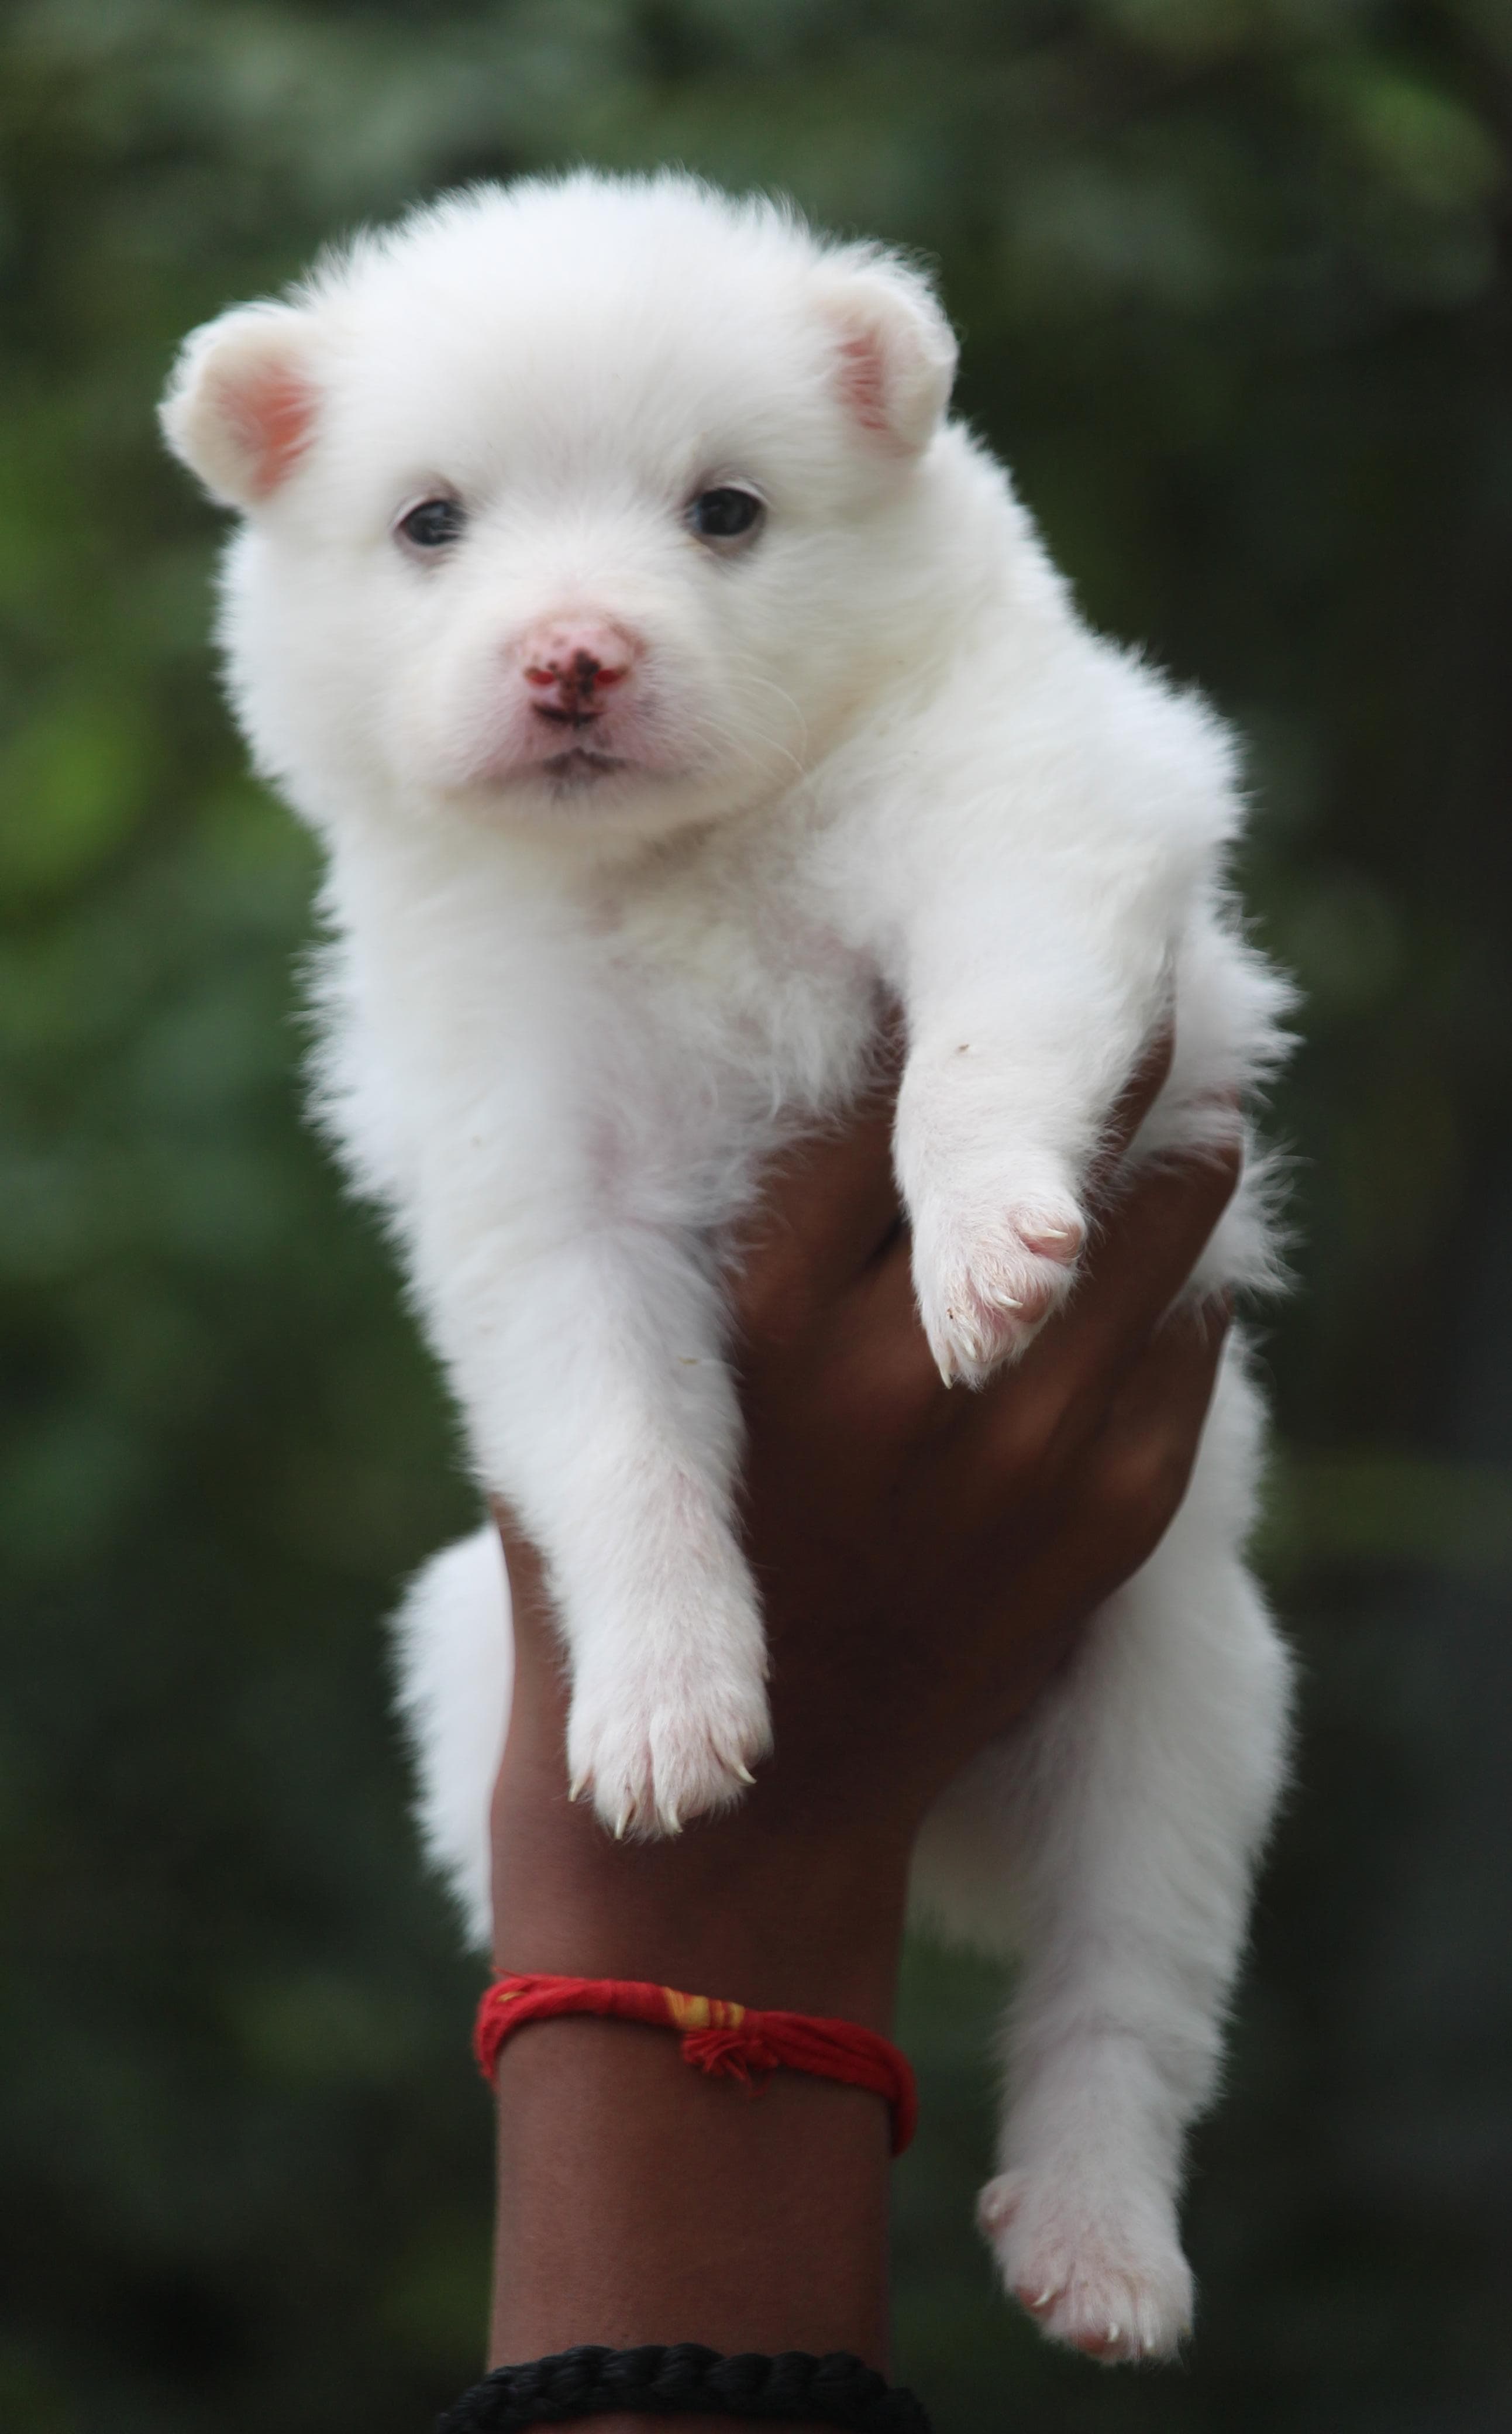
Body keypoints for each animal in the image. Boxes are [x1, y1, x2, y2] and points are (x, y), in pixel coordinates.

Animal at [168, 166, 1295, 2356]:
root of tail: (948, 1841)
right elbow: (620, 1439)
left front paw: (990, 1244)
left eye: (724, 511)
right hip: (462, 1654)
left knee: (1122, 2008)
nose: (574, 659)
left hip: (1185, 1697)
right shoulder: (532, 1175)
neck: (675, 861)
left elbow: (983, 1036)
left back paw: (1099, 2240)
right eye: (431, 523)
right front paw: (670, 1702)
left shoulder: (1028, 808)